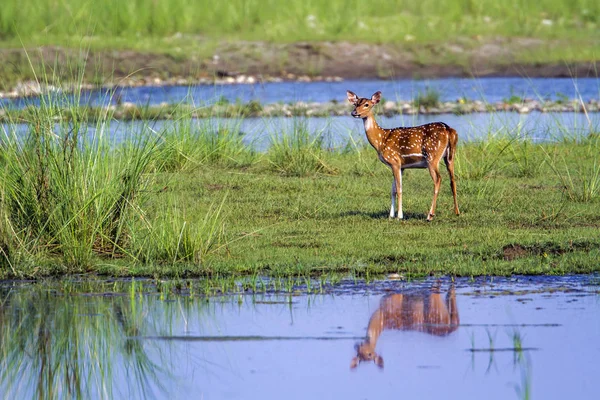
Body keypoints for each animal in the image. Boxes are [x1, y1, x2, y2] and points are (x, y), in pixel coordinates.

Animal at [346, 90, 460, 220]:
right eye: (355, 104)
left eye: (367, 104)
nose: (354, 112)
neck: (381, 140)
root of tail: (449, 130)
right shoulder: (401, 166)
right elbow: (393, 190)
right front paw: (390, 215)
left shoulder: (394, 160)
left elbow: (399, 189)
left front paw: (399, 215)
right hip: (449, 156)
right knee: (453, 180)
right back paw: (457, 212)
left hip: (432, 157)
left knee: (438, 179)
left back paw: (430, 215)